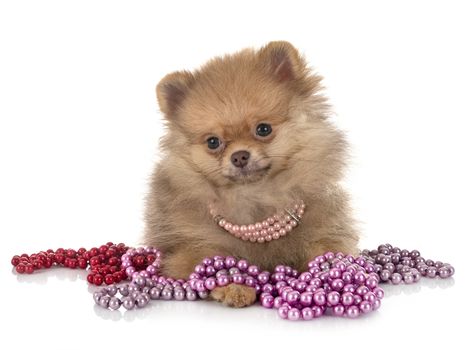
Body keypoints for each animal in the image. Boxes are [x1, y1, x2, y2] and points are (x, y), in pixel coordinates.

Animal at [143, 41, 358, 306]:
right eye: (213, 142)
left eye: (263, 129)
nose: (239, 156)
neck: (254, 196)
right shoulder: (188, 247)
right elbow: (211, 261)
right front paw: (234, 286)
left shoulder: (327, 231)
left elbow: (328, 251)